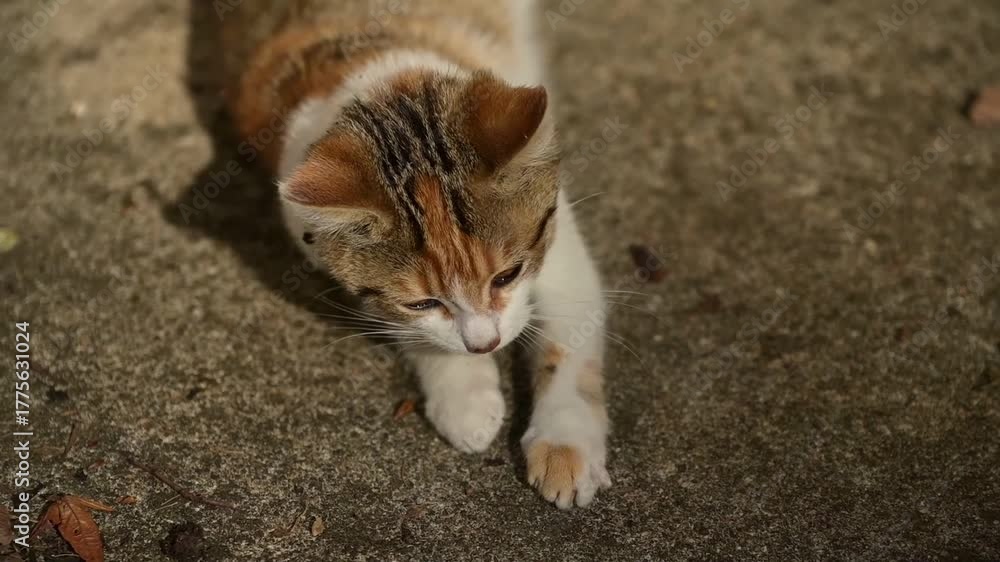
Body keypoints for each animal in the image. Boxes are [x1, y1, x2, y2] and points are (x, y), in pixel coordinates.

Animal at [220, 0, 611, 509]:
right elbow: (411, 328)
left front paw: (565, 442)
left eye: (507, 276)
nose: (485, 344)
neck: (379, 68)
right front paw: (466, 398)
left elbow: (570, 327)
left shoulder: (556, 236)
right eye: (423, 302)